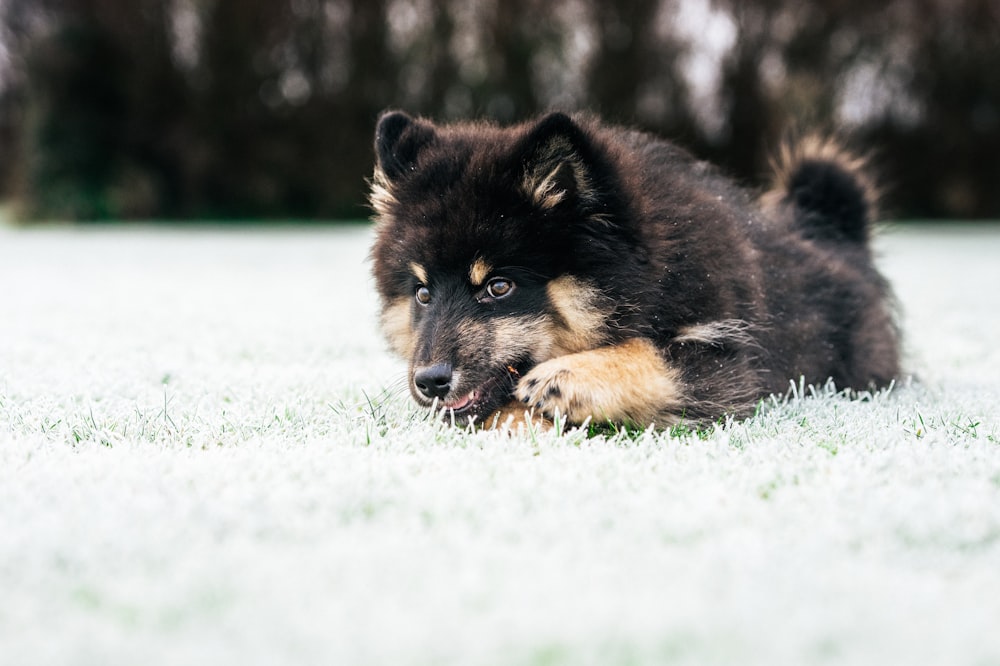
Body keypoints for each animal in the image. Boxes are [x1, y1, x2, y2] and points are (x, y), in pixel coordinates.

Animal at [368, 111, 900, 428]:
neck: (649, 273)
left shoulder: (729, 360)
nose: (429, 380)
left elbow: (657, 356)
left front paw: (571, 378)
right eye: (422, 293)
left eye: (498, 286)